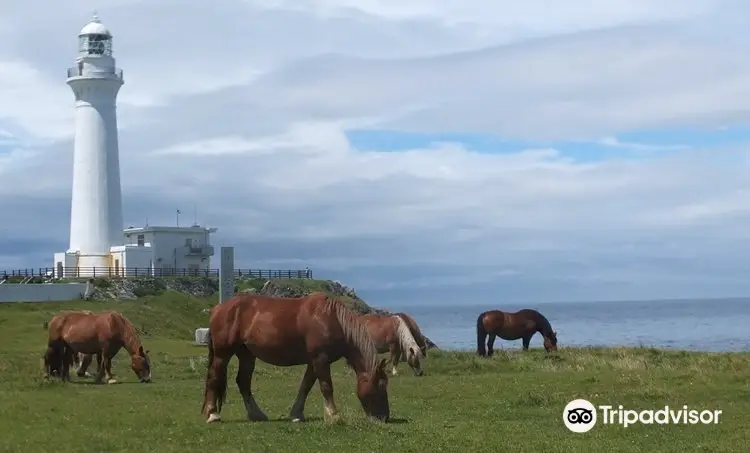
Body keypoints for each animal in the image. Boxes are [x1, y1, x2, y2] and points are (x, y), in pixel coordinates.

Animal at [203, 292, 394, 422]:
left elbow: (305, 386)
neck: (332, 319)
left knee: (243, 382)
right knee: (214, 377)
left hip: (247, 355)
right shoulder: (320, 358)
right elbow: (326, 386)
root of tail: (219, 308)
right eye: (381, 386)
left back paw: (256, 414)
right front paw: (333, 415)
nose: (384, 417)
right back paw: (212, 414)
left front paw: (297, 414)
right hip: (222, 354)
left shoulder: (313, 362)